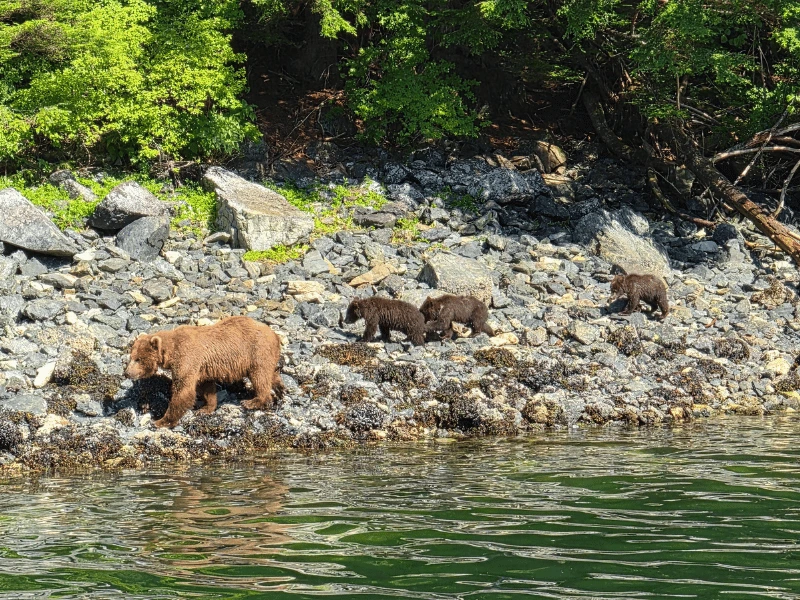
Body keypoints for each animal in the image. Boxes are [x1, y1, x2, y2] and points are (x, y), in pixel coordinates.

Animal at [125, 316, 284, 428]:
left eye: (138, 359)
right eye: (131, 357)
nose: (127, 373)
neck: (171, 352)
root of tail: (275, 334)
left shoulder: (187, 358)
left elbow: (183, 390)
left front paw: (161, 421)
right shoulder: (202, 367)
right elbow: (206, 387)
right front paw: (206, 408)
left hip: (257, 351)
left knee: (260, 376)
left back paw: (253, 401)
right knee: (270, 372)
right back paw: (280, 388)